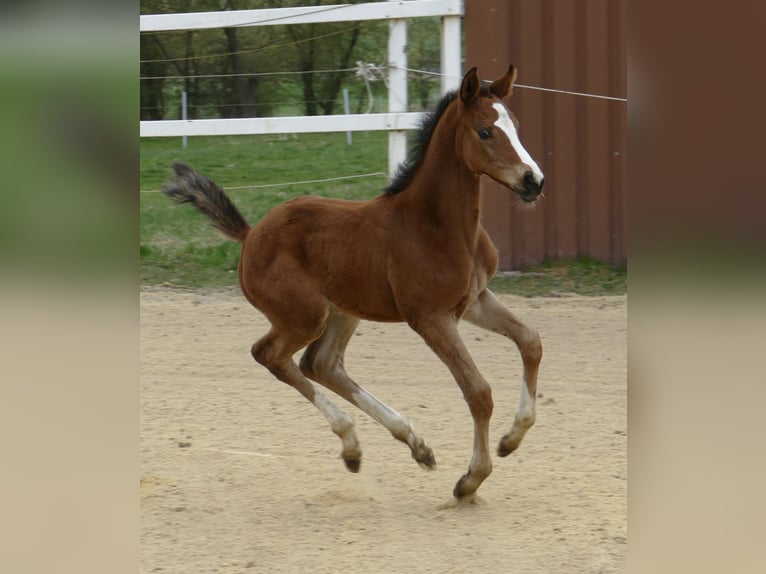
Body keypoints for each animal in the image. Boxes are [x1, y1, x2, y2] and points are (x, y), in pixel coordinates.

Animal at [162, 65, 544, 501]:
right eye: (484, 131)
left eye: (515, 125)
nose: (533, 181)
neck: (437, 225)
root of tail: (250, 234)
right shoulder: (430, 318)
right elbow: (478, 391)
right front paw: (471, 479)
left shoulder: (475, 300)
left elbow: (530, 341)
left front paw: (511, 440)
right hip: (304, 316)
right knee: (271, 355)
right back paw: (351, 442)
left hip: (344, 311)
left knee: (321, 363)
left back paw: (413, 444)